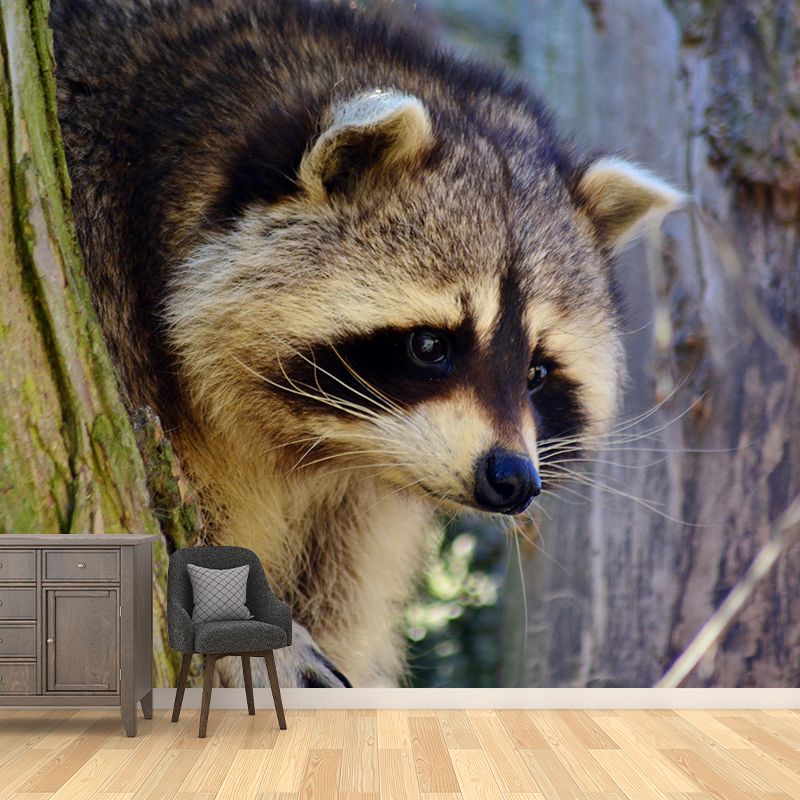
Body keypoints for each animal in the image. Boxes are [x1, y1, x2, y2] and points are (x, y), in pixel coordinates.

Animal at [50, 0, 683, 687]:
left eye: (538, 373)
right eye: (430, 346)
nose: (513, 479)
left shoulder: (363, 499)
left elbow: (343, 583)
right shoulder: (103, 267)